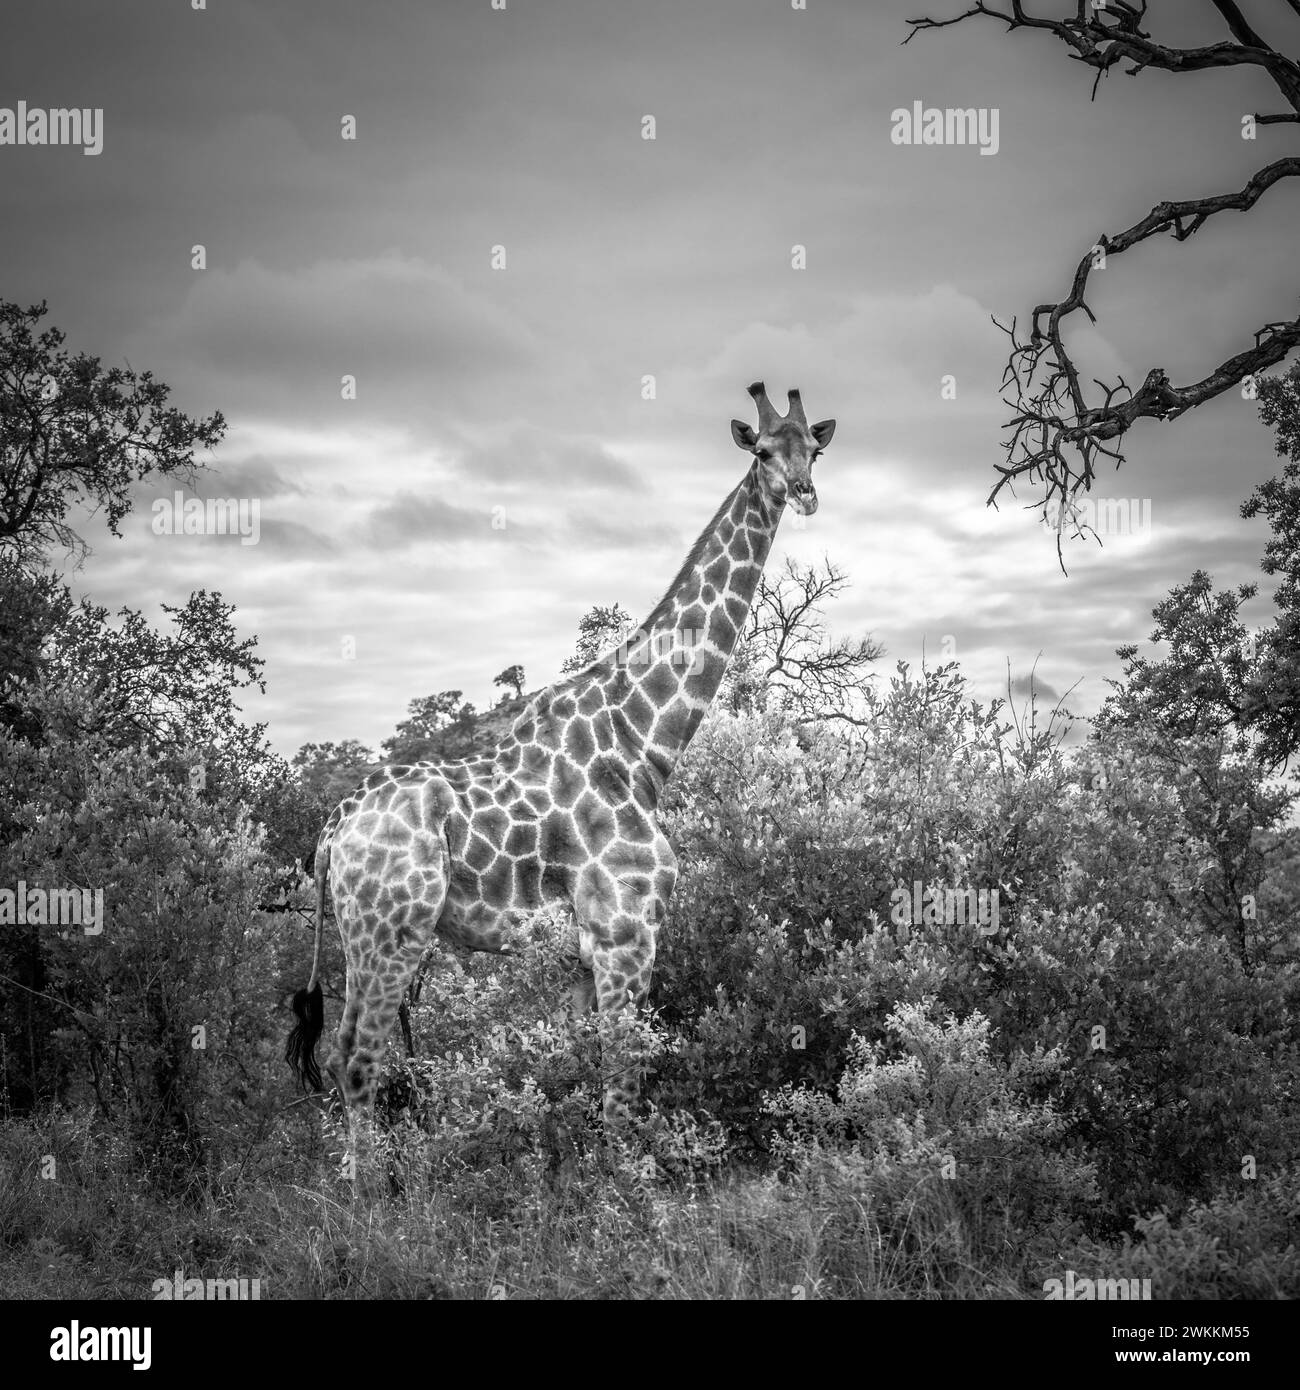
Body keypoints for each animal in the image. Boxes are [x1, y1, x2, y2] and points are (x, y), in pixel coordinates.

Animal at [285, 381, 836, 1136]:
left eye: (813, 448)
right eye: (761, 452)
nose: (805, 493)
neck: (642, 740)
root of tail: (331, 830)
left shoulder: (583, 953)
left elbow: (581, 1075)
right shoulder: (626, 930)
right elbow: (623, 1085)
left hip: (356, 935)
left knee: (347, 1050)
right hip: (391, 930)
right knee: (359, 1058)